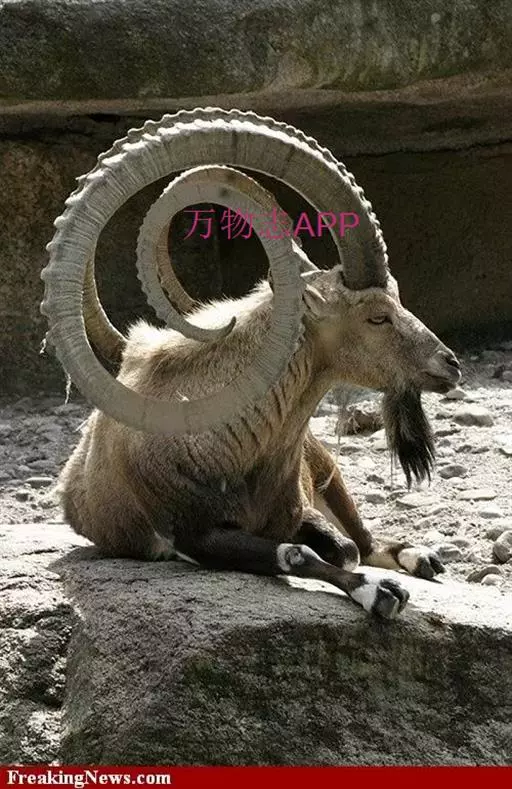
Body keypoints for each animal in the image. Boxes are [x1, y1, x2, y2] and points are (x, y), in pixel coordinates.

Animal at [42, 108, 461, 619]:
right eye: (377, 316)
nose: (450, 364)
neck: (230, 444)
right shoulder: (192, 535)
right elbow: (298, 553)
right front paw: (378, 592)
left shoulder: (298, 508)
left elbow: (343, 547)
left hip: (327, 468)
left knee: (365, 537)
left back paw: (422, 557)